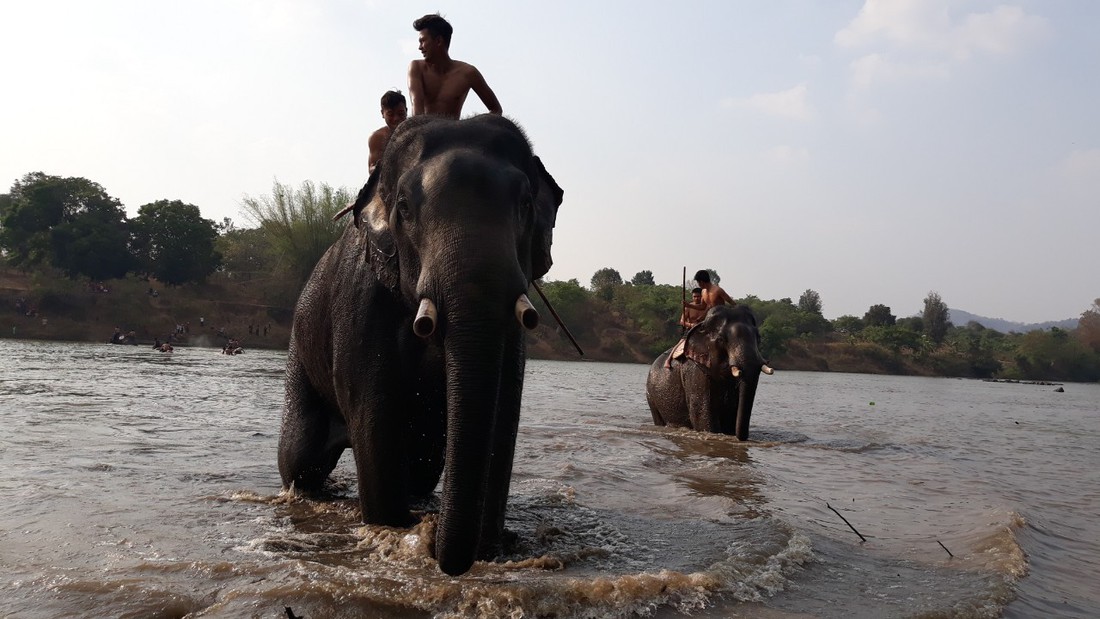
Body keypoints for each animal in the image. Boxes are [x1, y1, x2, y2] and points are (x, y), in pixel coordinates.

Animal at [279, 113, 563, 580]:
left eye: (525, 204)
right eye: (405, 208)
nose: (444, 561)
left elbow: (503, 416)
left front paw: (490, 547)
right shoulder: (360, 304)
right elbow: (375, 418)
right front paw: (394, 530)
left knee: (423, 465)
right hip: (300, 353)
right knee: (299, 457)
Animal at [642, 305, 774, 439]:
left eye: (759, 338)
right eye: (721, 340)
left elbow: (732, 413)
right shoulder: (695, 369)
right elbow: (702, 413)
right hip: (651, 395)